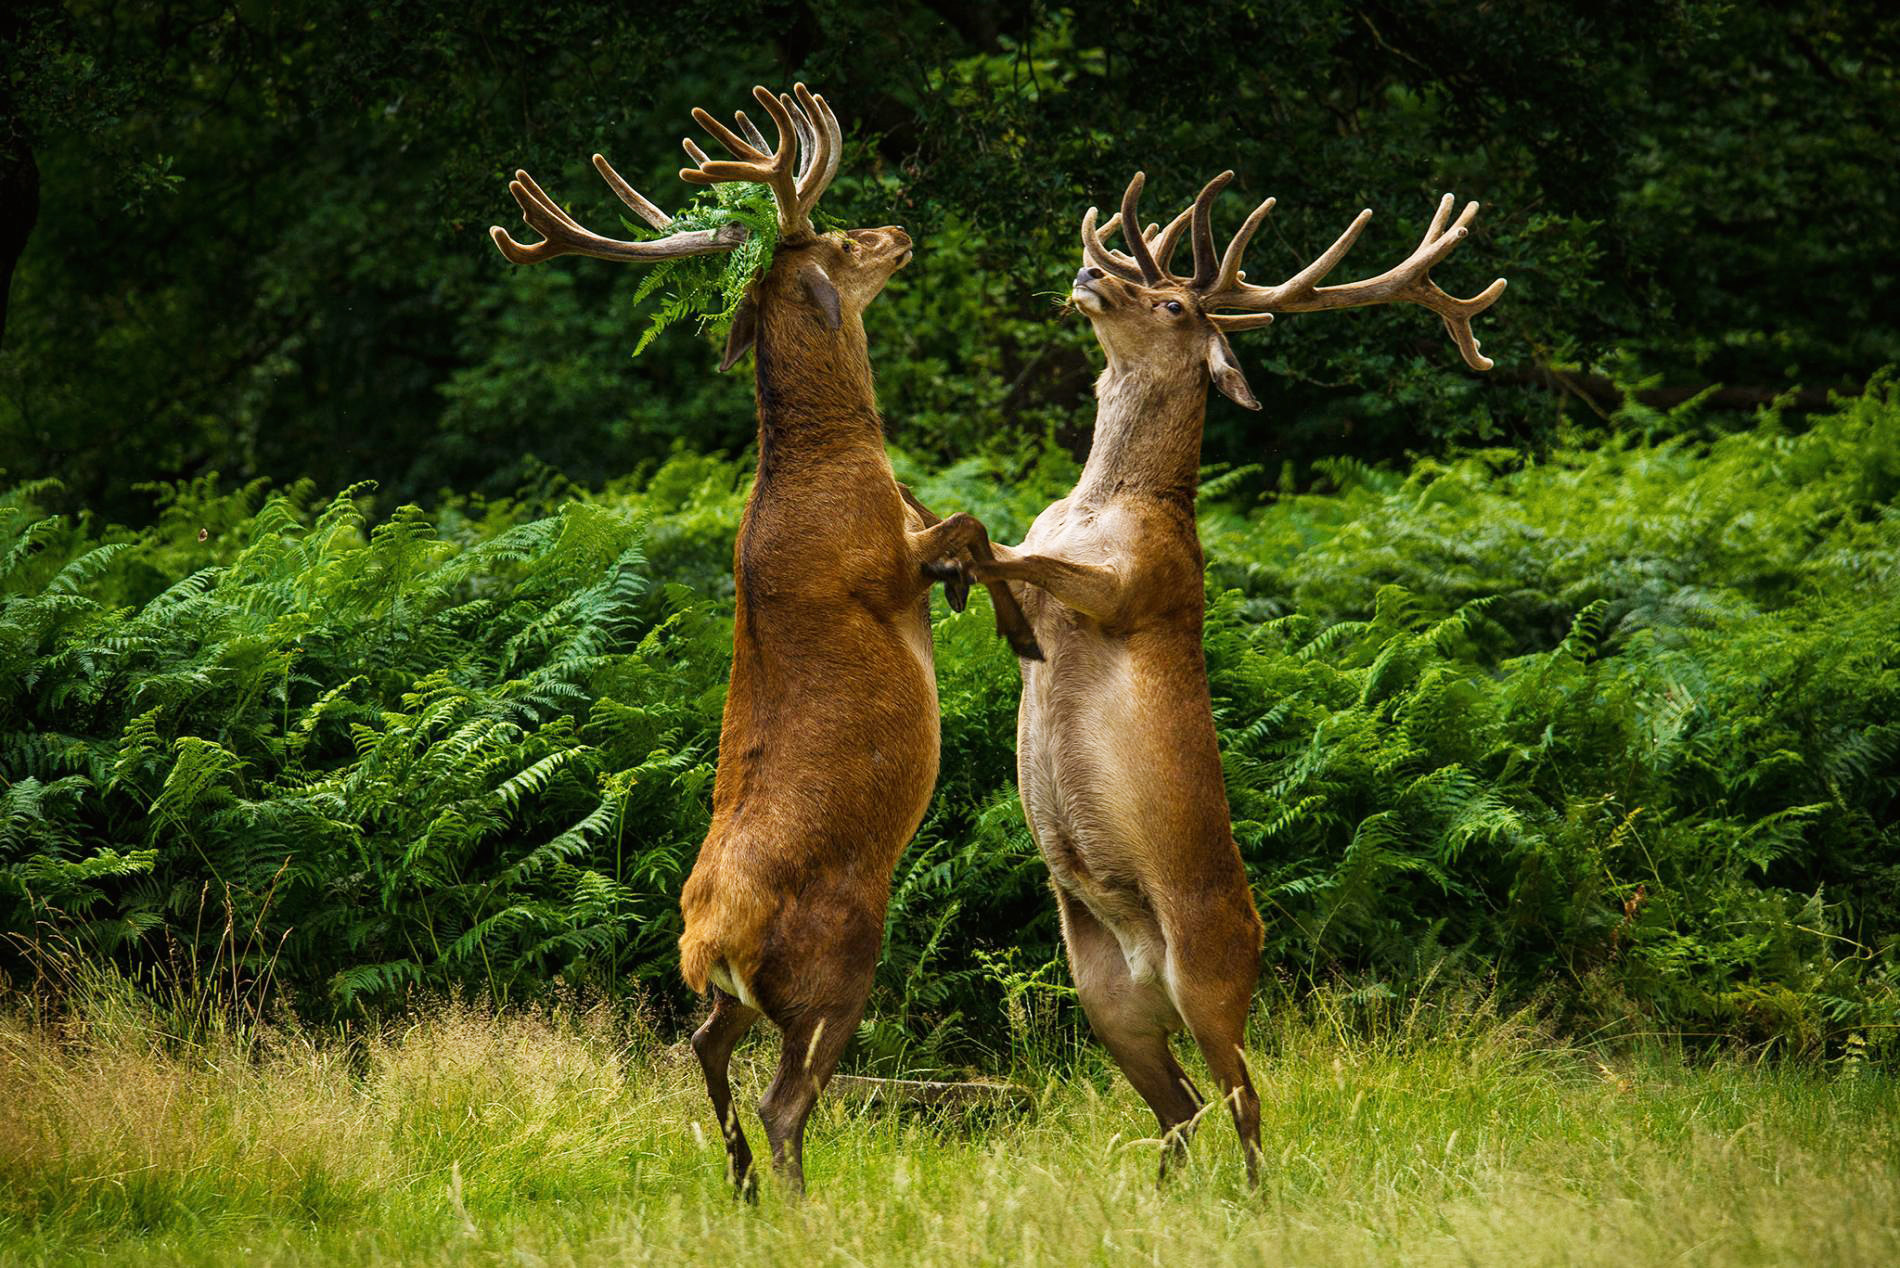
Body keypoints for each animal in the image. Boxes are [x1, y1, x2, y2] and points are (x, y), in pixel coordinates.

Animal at [482, 84, 1041, 1193]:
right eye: (838, 236)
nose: (899, 233)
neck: (836, 460)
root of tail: (707, 941)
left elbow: (967, 523)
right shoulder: (883, 562)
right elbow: (969, 525)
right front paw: (1010, 621)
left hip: (737, 998)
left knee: (701, 1050)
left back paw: (741, 1185)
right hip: (837, 961)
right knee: (789, 1099)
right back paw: (794, 1197)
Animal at [965, 173, 1497, 1186]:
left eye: (1173, 303)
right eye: (1139, 278)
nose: (1089, 274)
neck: (1103, 504)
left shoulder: (1142, 585)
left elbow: (1011, 551)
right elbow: (1000, 555)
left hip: (1212, 976)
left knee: (1246, 1103)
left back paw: (1251, 1200)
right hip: (1104, 998)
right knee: (1183, 1108)